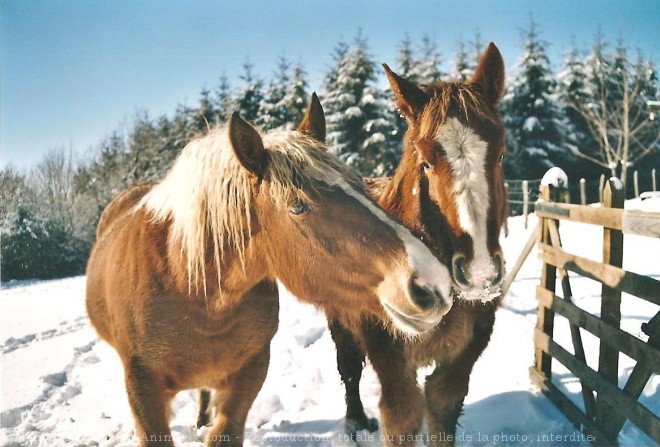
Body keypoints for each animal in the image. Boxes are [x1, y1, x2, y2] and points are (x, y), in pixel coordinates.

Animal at [84, 95, 454, 447]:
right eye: (298, 206)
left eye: (361, 186)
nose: (433, 283)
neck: (190, 292)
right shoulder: (142, 389)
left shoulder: (251, 369)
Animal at [330, 43, 510, 447]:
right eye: (425, 162)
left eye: (501, 154)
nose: (479, 273)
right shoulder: (391, 362)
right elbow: (401, 417)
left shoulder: (461, 361)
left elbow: (442, 409)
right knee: (349, 371)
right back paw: (354, 422)